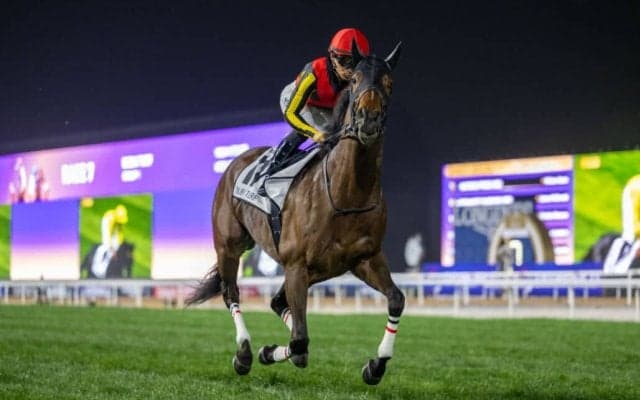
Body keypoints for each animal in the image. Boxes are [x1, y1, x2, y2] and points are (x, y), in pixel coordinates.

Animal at [187, 41, 404, 385]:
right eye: (356, 79)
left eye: (389, 82)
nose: (368, 119)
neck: (346, 191)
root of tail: (239, 161)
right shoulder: (296, 263)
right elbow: (300, 342)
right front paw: (266, 352)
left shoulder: (364, 259)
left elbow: (396, 299)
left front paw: (376, 365)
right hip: (230, 245)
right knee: (231, 292)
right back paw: (245, 353)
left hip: (317, 269)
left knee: (277, 302)